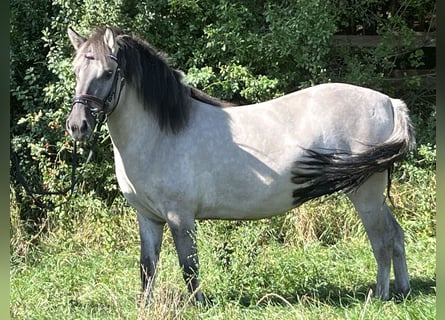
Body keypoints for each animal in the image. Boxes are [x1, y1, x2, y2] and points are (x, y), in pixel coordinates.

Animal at [65, 25, 412, 302]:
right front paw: (145, 307)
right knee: (396, 235)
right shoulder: (148, 218)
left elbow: (189, 266)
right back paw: (404, 290)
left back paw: (380, 296)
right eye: (75, 72)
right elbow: (147, 267)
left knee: (382, 239)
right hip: (374, 195)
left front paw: (198, 306)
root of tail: (390, 103)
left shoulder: (180, 217)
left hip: (366, 194)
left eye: (107, 73)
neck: (160, 134)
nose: (77, 126)